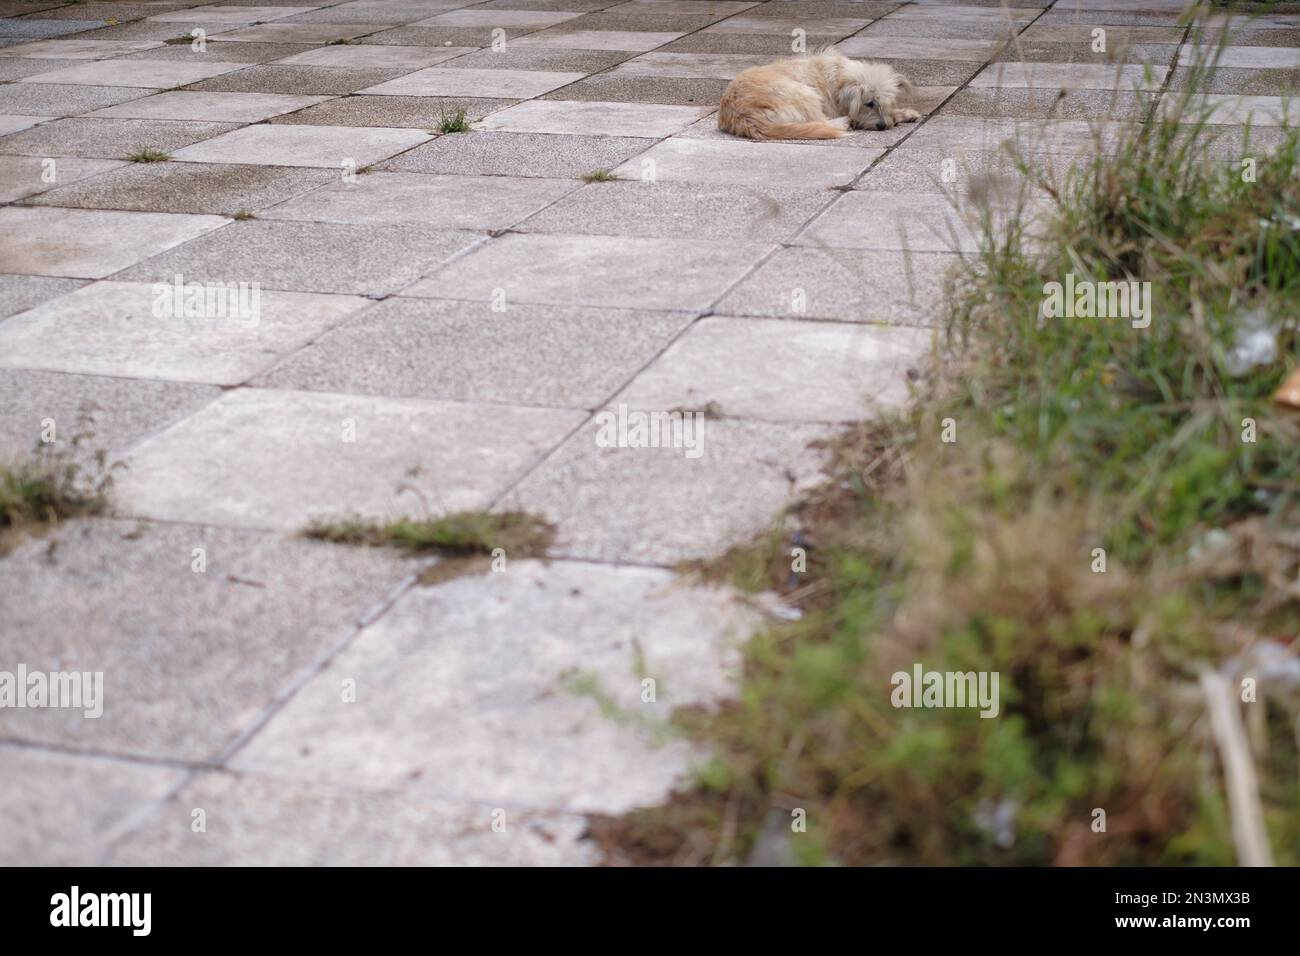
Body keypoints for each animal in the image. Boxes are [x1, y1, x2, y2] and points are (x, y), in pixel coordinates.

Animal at [722, 49, 925, 141]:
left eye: (885, 104)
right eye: (869, 103)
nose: (883, 126)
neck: (839, 76)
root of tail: (745, 116)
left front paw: (905, 114)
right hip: (806, 93)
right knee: (820, 122)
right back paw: (845, 123)